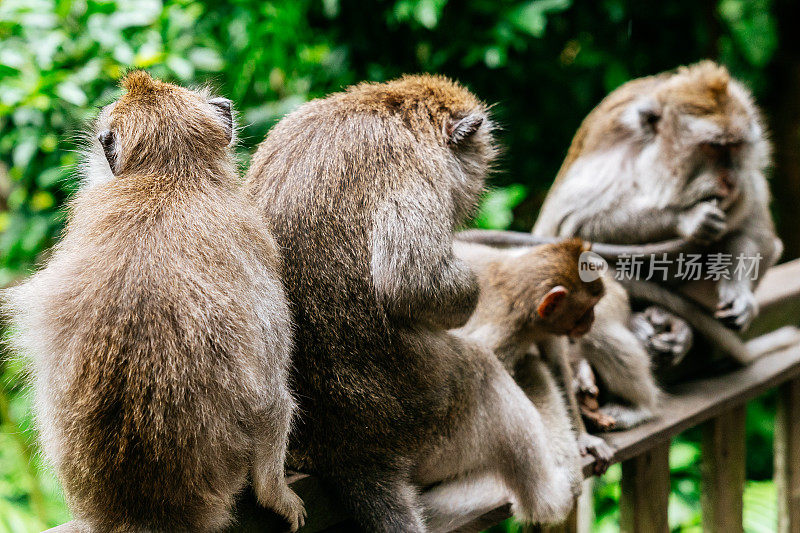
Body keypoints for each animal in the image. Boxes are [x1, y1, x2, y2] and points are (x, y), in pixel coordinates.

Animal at [245, 76, 580, 532]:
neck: (389, 108)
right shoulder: (414, 167)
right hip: (429, 412)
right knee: (484, 376)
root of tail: (349, 453)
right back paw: (551, 491)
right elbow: (412, 283)